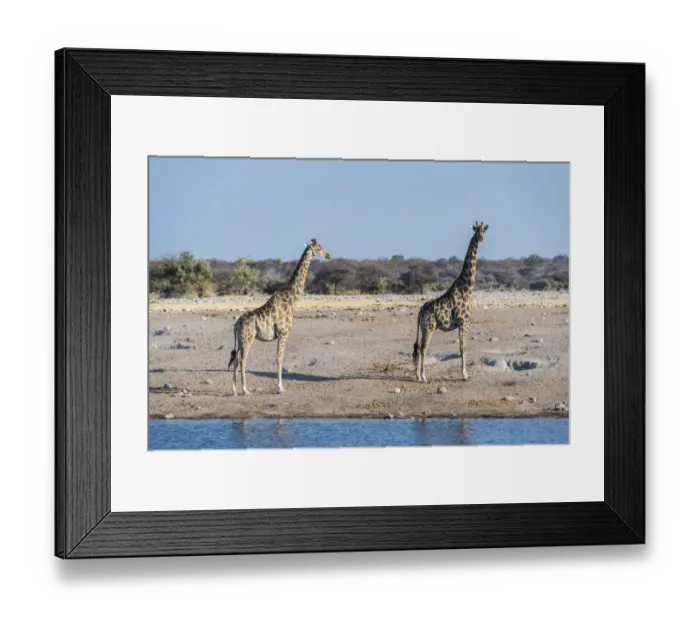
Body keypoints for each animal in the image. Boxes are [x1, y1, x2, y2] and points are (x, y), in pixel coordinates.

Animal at [227, 239, 331, 396]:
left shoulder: (281, 335)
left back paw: (234, 390)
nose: (328, 255)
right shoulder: (283, 333)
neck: (292, 300)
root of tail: (236, 324)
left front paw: (280, 386)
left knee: (236, 359)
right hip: (247, 338)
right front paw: (280, 388)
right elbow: (279, 359)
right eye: (319, 248)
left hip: (240, 340)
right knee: (242, 359)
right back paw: (245, 390)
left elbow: (279, 359)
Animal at [412, 222, 489, 383]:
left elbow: (463, 346)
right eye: (476, 230)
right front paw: (465, 375)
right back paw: (424, 376)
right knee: (423, 347)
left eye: (483, 230)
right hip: (429, 327)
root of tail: (419, 313)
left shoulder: (466, 322)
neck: (467, 288)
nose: (481, 238)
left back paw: (417, 376)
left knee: (419, 347)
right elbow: (462, 347)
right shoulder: (463, 321)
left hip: (427, 327)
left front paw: (465, 374)